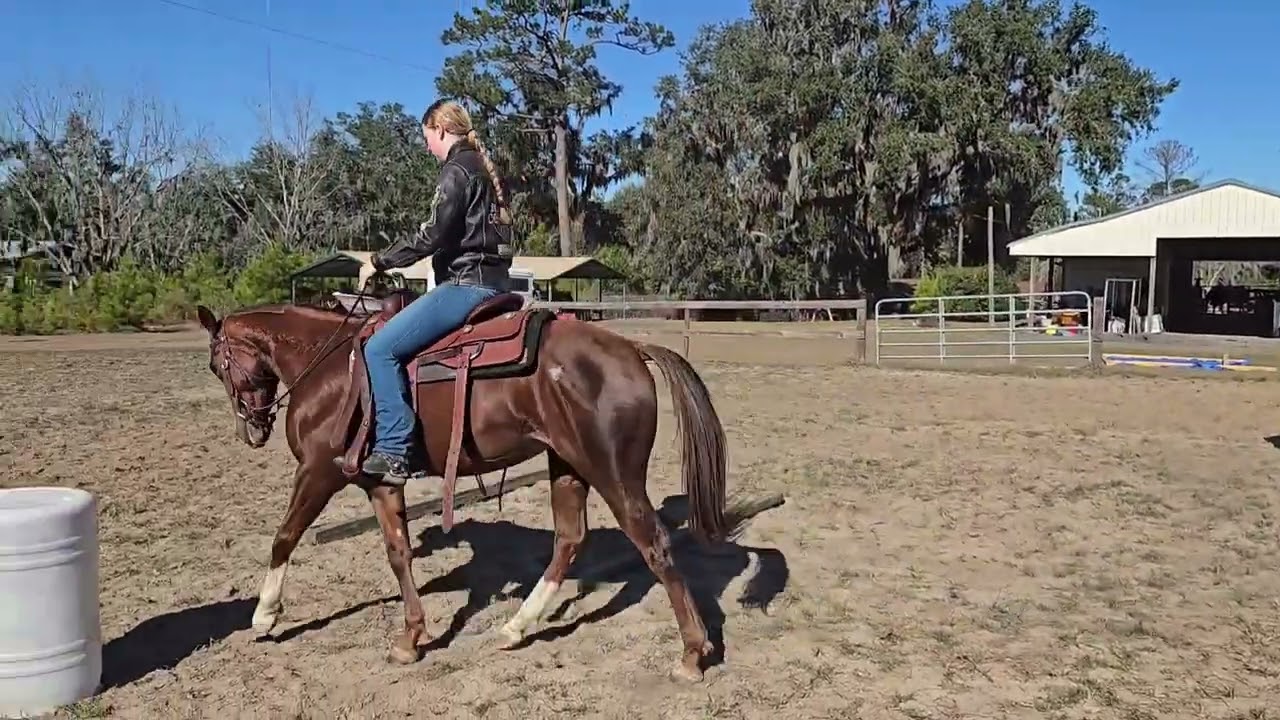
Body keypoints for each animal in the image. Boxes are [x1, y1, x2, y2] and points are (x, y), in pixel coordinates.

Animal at [193, 293, 730, 682]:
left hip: (613, 472)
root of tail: (632, 350)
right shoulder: (380, 482)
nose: (251, 430)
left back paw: (691, 654)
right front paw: (410, 639)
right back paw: (517, 626)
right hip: (567, 464)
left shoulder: (319, 471)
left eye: (218, 365)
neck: (327, 366)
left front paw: (264, 616)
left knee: (652, 543)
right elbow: (399, 553)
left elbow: (284, 537)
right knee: (570, 539)